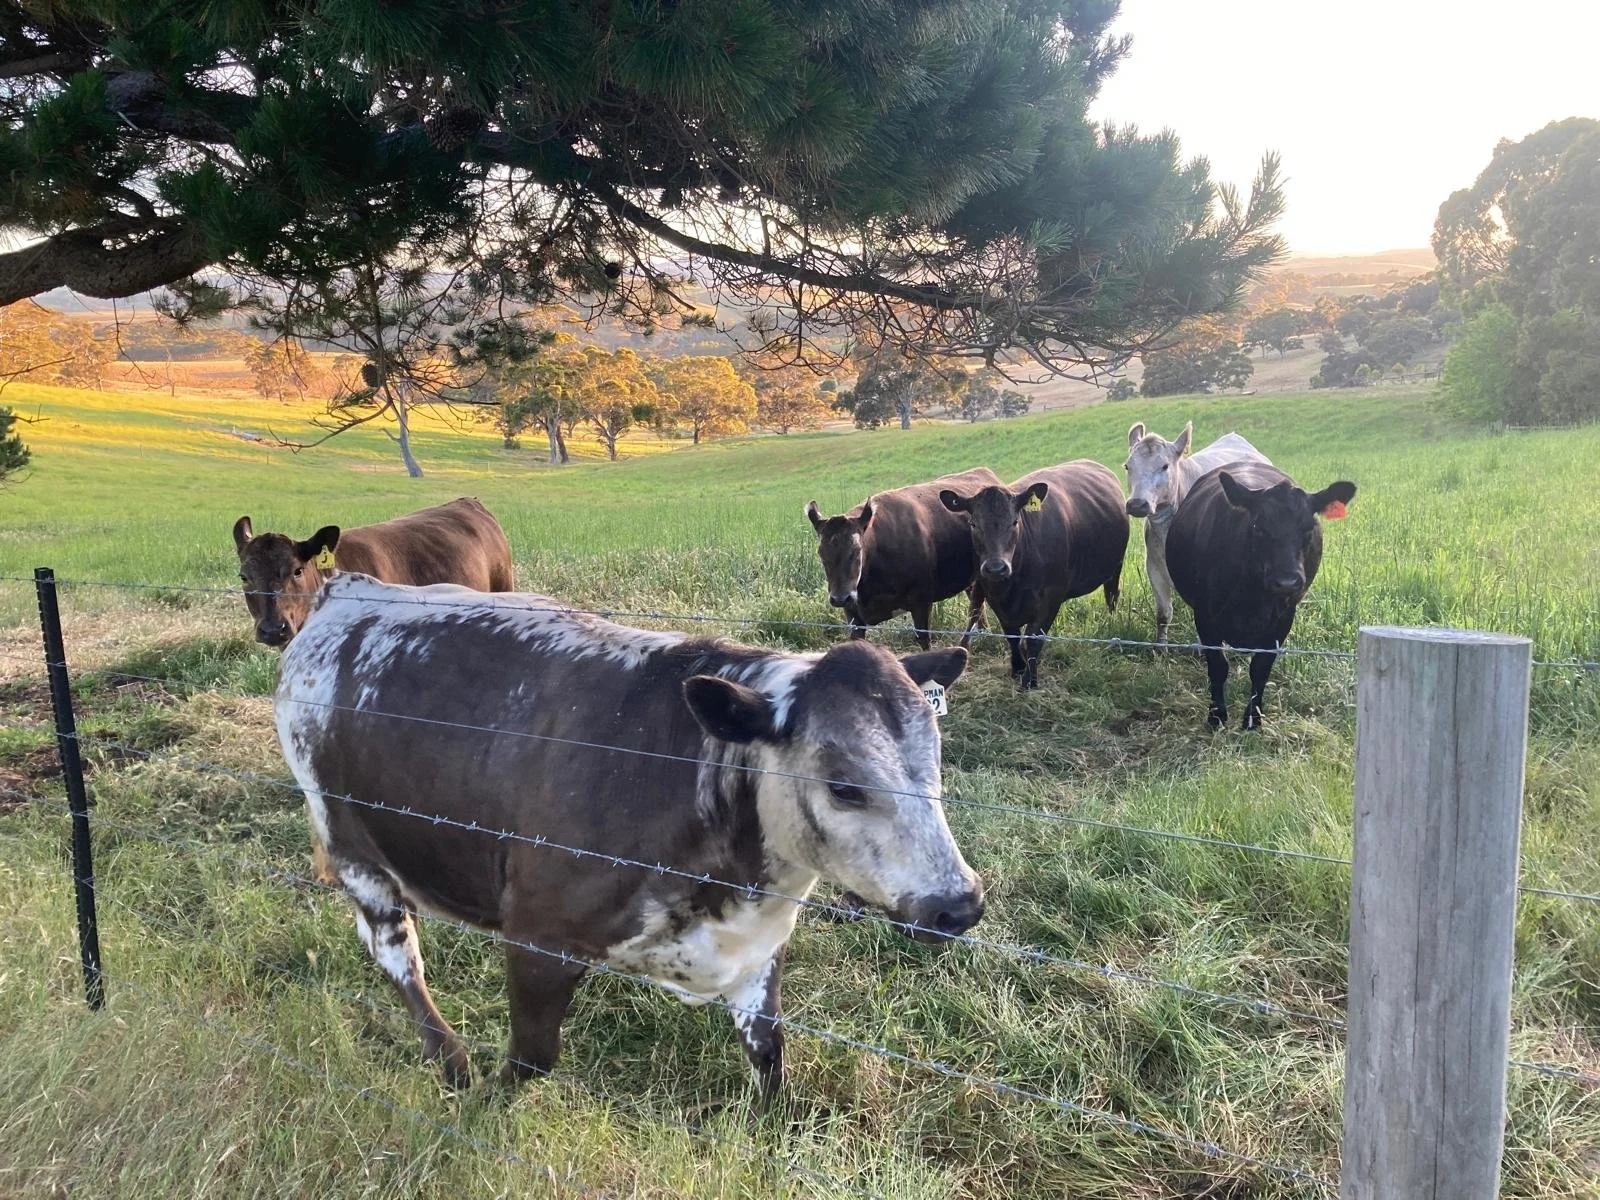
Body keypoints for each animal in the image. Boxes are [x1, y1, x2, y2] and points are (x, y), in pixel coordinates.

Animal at [275, 574, 983, 1101]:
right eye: (842, 786)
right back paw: (451, 1061)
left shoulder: (757, 952)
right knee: (397, 955)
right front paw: (482, 1105)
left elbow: (770, 1053)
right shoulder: (537, 936)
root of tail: (349, 587)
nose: (961, 903)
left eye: (936, 757)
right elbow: (531, 1057)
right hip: (355, 850)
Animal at [805, 466, 1001, 649]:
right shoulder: (853, 613)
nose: (839, 598)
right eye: (820, 553)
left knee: (976, 605)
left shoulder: (921, 600)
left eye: (857, 550)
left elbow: (924, 640)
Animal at [938, 461, 1128, 690]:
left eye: (1014, 521)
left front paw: (1029, 680)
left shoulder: (1052, 595)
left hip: (1115, 567)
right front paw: (1017, 667)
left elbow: (1034, 638)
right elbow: (1011, 634)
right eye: (973, 524)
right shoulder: (993, 594)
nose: (996, 568)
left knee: (1112, 594)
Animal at [1123, 422, 1271, 643]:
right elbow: (1163, 614)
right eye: (1127, 466)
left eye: (1165, 466)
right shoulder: (1154, 566)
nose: (1136, 504)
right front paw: (1160, 647)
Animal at [1164, 462, 1356, 730]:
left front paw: (1253, 719)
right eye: (1257, 526)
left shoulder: (1283, 618)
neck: (1252, 596)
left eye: (1309, 527)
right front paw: (1216, 716)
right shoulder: (1205, 615)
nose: (1287, 581)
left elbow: (1260, 668)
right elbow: (1217, 666)